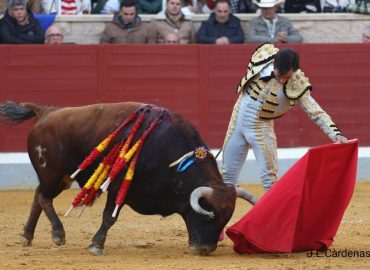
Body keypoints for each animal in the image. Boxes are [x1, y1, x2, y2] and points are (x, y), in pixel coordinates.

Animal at [0, 100, 254, 255]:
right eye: (208, 215)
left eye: (226, 219)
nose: (205, 249)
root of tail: (47, 112)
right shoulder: (117, 187)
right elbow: (109, 218)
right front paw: (96, 245)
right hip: (52, 172)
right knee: (43, 197)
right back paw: (57, 234)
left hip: (59, 177)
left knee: (38, 196)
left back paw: (27, 236)